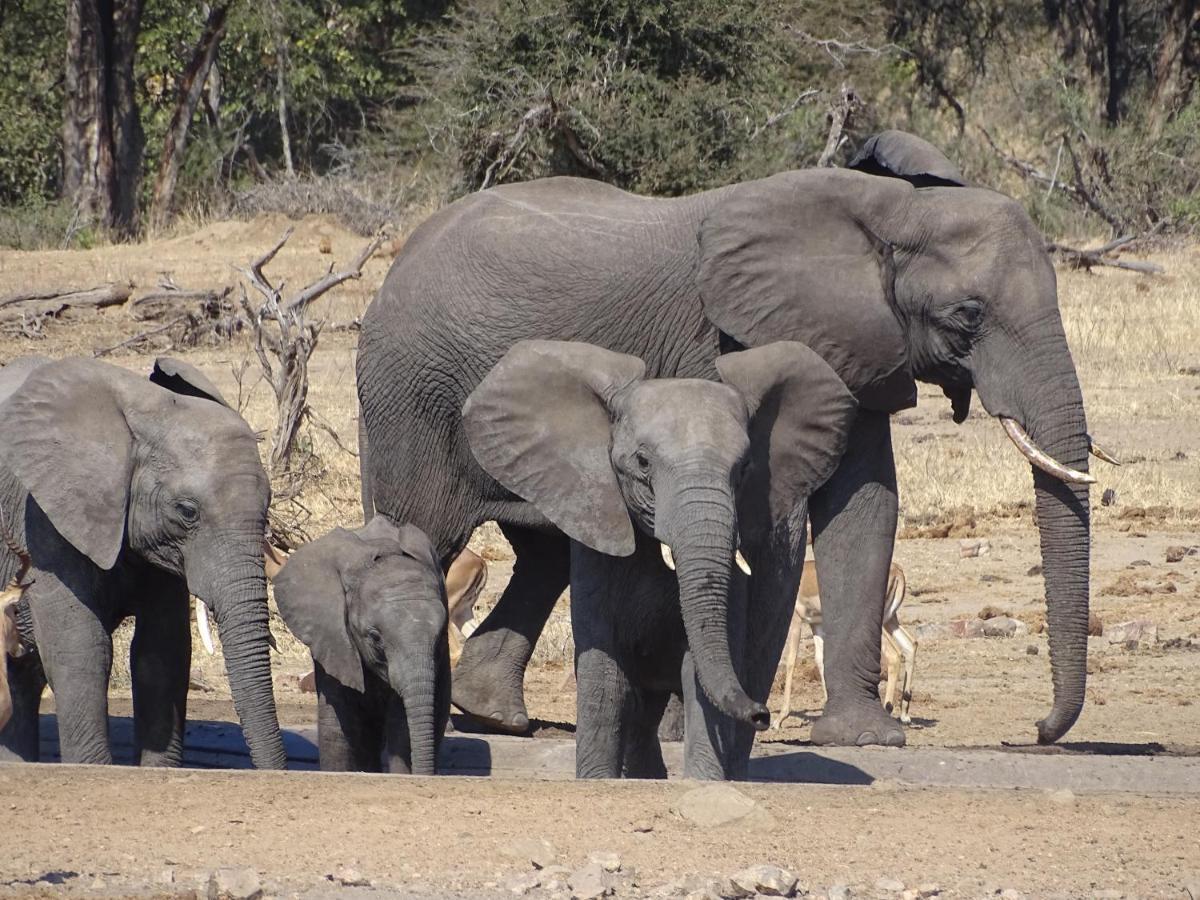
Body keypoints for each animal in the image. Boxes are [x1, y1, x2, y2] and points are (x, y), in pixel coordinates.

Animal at [463, 340, 859, 777]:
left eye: (744, 469)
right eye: (642, 462)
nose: (762, 714)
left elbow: (700, 671)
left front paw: (705, 781)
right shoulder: (598, 529)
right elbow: (605, 673)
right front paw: (599, 780)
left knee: (750, 669)